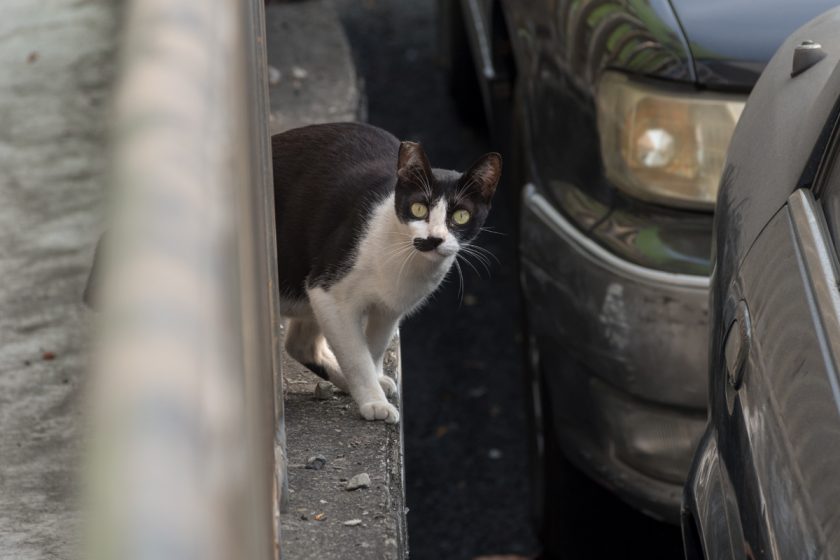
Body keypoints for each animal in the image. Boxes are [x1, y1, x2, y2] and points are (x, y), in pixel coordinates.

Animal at [274, 120, 498, 422]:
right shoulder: (328, 293)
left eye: (461, 216)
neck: (404, 263)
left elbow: (375, 348)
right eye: (419, 208)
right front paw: (373, 402)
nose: (434, 239)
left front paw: (375, 383)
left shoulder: (390, 309)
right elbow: (356, 355)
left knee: (300, 344)